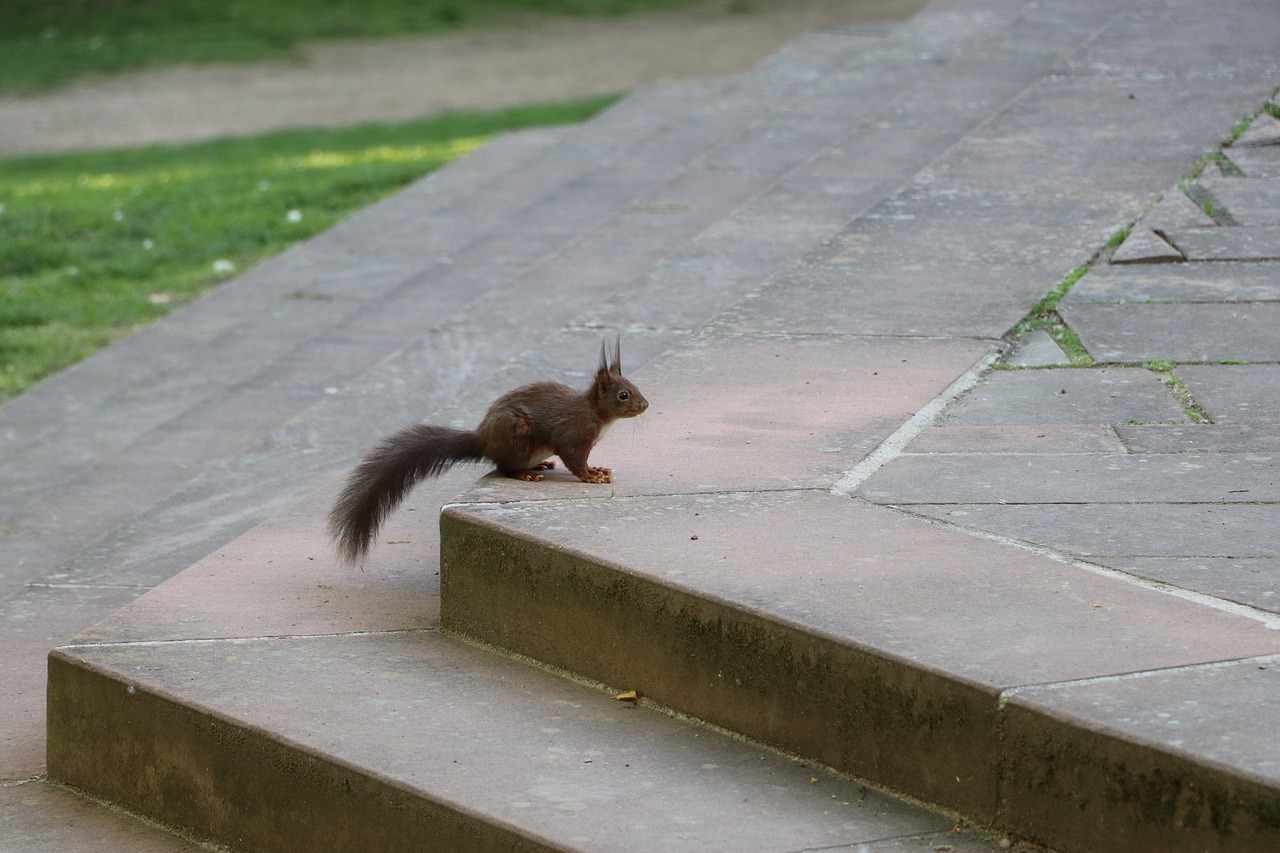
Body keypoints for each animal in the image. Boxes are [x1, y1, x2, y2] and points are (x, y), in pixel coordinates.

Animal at [327, 338, 650, 563]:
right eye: (623, 395)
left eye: (634, 386)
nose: (646, 405)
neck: (596, 413)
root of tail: (483, 440)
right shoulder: (573, 435)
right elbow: (575, 460)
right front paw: (592, 475)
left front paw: (599, 469)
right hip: (518, 434)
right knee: (504, 467)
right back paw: (525, 474)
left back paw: (540, 466)